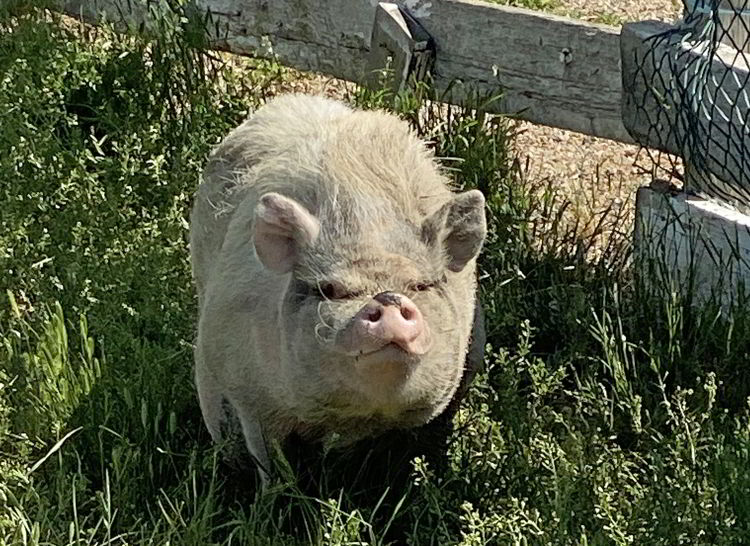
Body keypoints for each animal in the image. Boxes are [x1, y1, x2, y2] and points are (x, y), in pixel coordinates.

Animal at [191, 92, 490, 480]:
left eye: (422, 285)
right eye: (330, 290)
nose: (388, 299)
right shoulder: (246, 392)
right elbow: (266, 458)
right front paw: (274, 488)